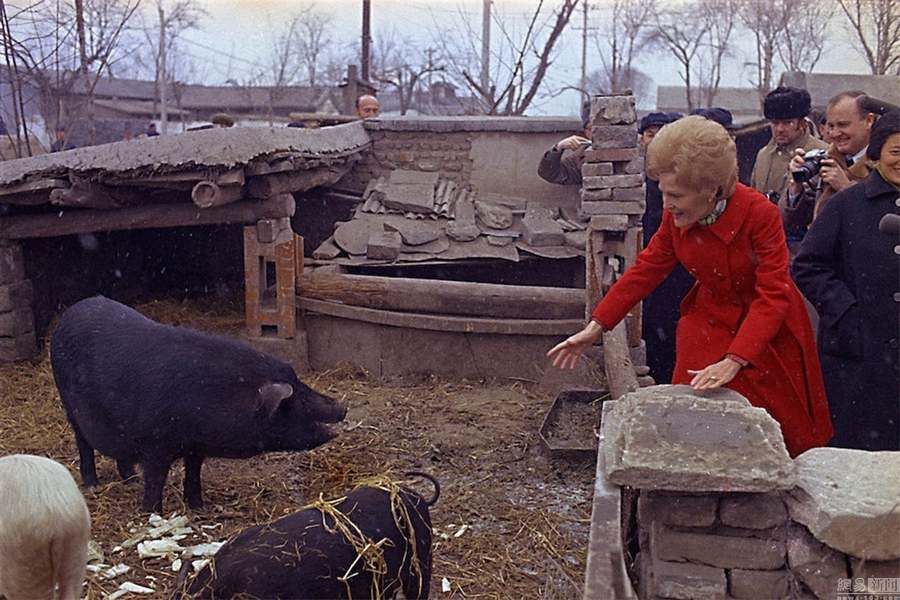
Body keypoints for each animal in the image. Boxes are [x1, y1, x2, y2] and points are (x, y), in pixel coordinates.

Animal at [50, 296, 344, 510]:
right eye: (295, 398)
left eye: (299, 381)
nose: (342, 406)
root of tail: (68, 314)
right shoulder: (155, 444)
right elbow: (156, 479)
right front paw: (152, 512)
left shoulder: (195, 446)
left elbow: (193, 473)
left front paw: (198, 507)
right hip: (69, 405)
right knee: (83, 443)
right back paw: (92, 484)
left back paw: (130, 480)